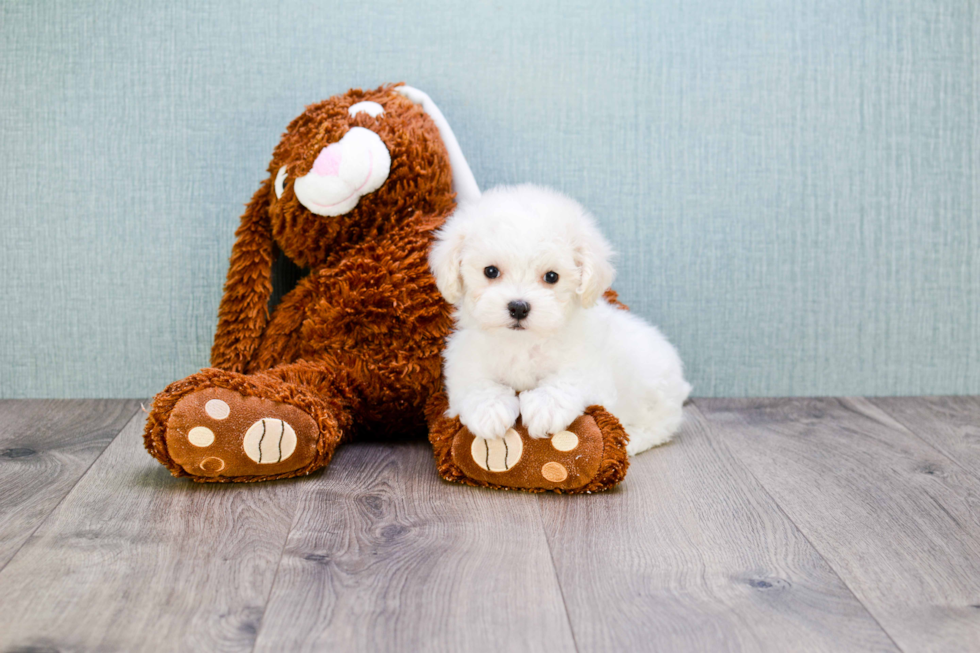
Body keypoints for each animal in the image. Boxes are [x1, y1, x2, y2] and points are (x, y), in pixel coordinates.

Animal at [428, 185, 688, 454]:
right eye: (490, 271)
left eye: (552, 276)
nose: (518, 307)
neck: (522, 342)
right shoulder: (465, 362)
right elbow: (476, 384)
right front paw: (490, 410)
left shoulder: (591, 369)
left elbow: (569, 379)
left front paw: (545, 407)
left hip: (654, 392)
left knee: (660, 426)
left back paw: (631, 439)